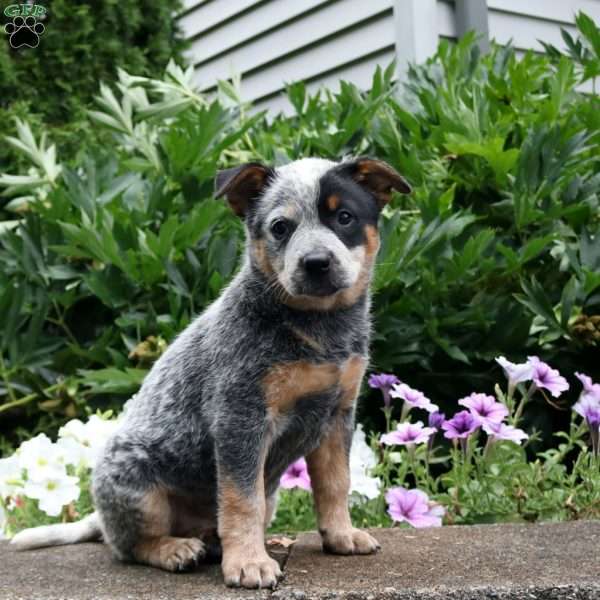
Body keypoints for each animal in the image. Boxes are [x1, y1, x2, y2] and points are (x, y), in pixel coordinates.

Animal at [10, 156, 412, 592]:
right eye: (280, 227)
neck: (318, 328)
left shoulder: (337, 413)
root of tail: (100, 516)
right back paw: (176, 549)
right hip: (138, 487)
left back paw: (212, 541)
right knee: (129, 547)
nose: (316, 262)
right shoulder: (240, 416)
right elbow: (242, 501)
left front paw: (341, 535)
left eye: (344, 217)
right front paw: (249, 563)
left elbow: (335, 484)